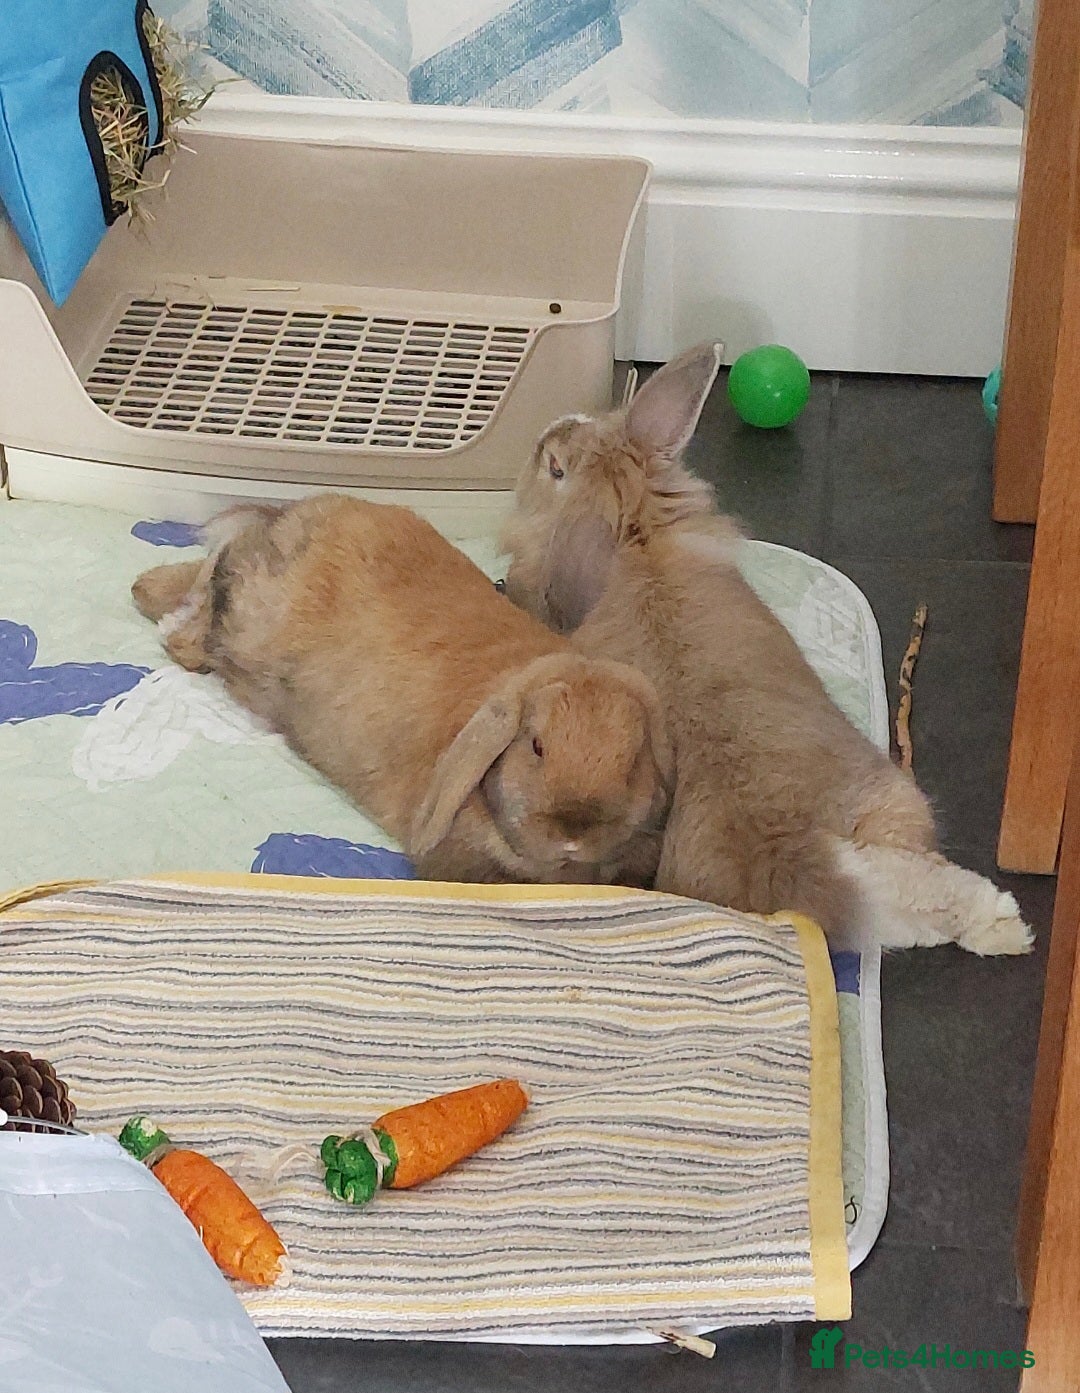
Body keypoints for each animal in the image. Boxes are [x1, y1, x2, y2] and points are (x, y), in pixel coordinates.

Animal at [131, 495, 673, 888]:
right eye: (536, 746)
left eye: (632, 762)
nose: (573, 835)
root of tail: (293, 513)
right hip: (250, 610)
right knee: (212, 587)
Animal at [500, 344, 1033, 956]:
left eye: (555, 465)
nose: (545, 435)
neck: (638, 536)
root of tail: (785, 852)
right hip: (895, 804)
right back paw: (1009, 926)